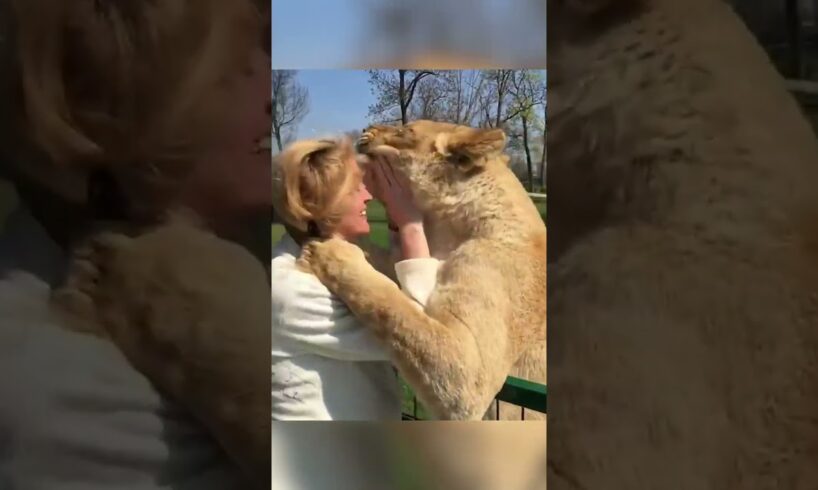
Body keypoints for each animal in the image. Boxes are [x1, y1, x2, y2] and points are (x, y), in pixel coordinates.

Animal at [296, 119, 544, 422]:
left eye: (405, 130)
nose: (366, 128)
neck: (448, 230)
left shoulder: (469, 374)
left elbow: (391, 306)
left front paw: (329, 251)